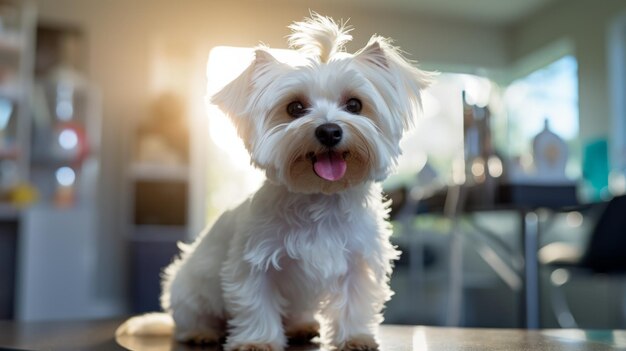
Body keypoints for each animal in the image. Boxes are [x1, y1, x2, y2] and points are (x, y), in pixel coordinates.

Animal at [116, 13, 428, 351]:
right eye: (295, 108)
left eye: (355, 105)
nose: (329, 131)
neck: (320, 198)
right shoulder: (253, 264)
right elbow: (256, 303)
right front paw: (258, 341)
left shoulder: (359, 263)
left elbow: (354, 302)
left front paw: (355, 337)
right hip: (188, 290)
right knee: (189, 321)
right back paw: (202, 332)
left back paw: (302, 326)